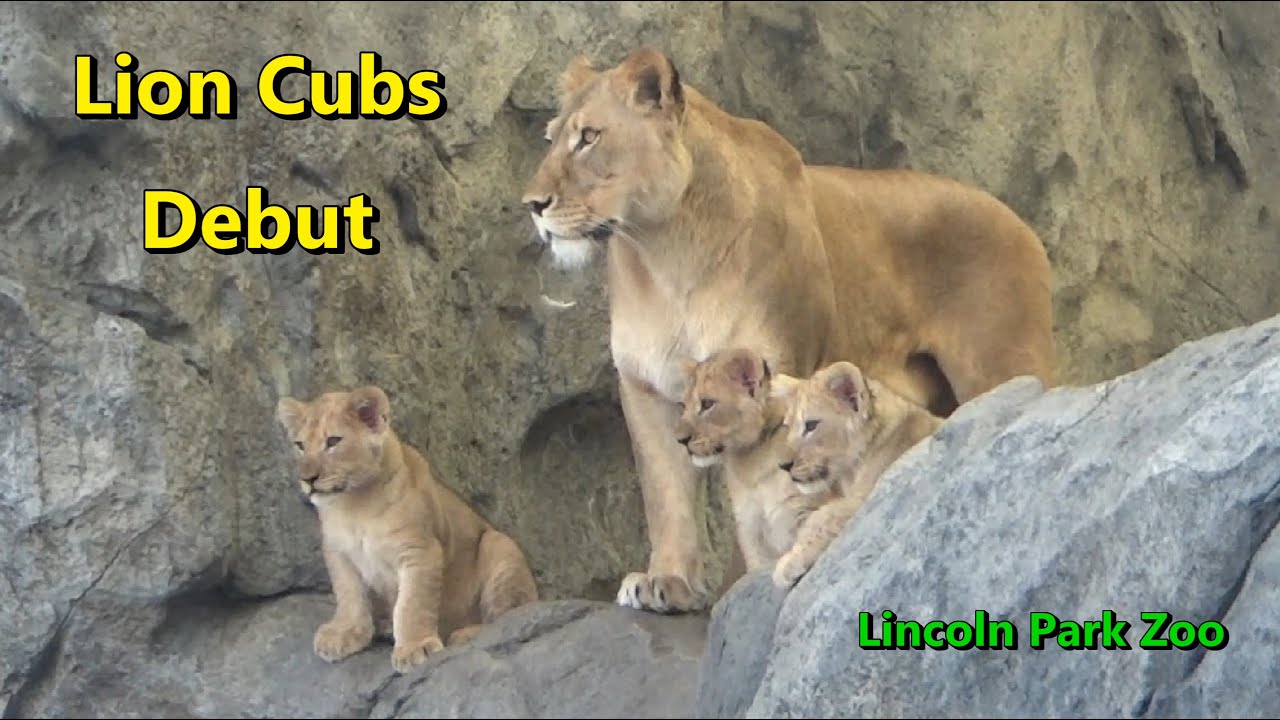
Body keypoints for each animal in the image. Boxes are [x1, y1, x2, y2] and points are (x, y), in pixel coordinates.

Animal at [274, 385, 539, 673]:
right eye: (300, 446)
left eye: (333, 441)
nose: (307, 479)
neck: (353, 505)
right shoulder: (338, 553)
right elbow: (349, 595)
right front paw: (345, 633)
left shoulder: (420, 550)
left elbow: (412, 603)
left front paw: (415, 647)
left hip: (498, 544)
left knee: (510, 616)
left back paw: (463, 634)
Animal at [673, 347, 836, 574]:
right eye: (683, 406)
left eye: (707, 404)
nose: (680, 440)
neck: (751, 461)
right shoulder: (750, 529)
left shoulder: (805, 507)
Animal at [767, 361, 943, 589]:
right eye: (788, 427)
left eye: (811, 425)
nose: (783, 465)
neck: (852, 470)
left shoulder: (868, 497)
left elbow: (822, 518)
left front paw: (788, 563)